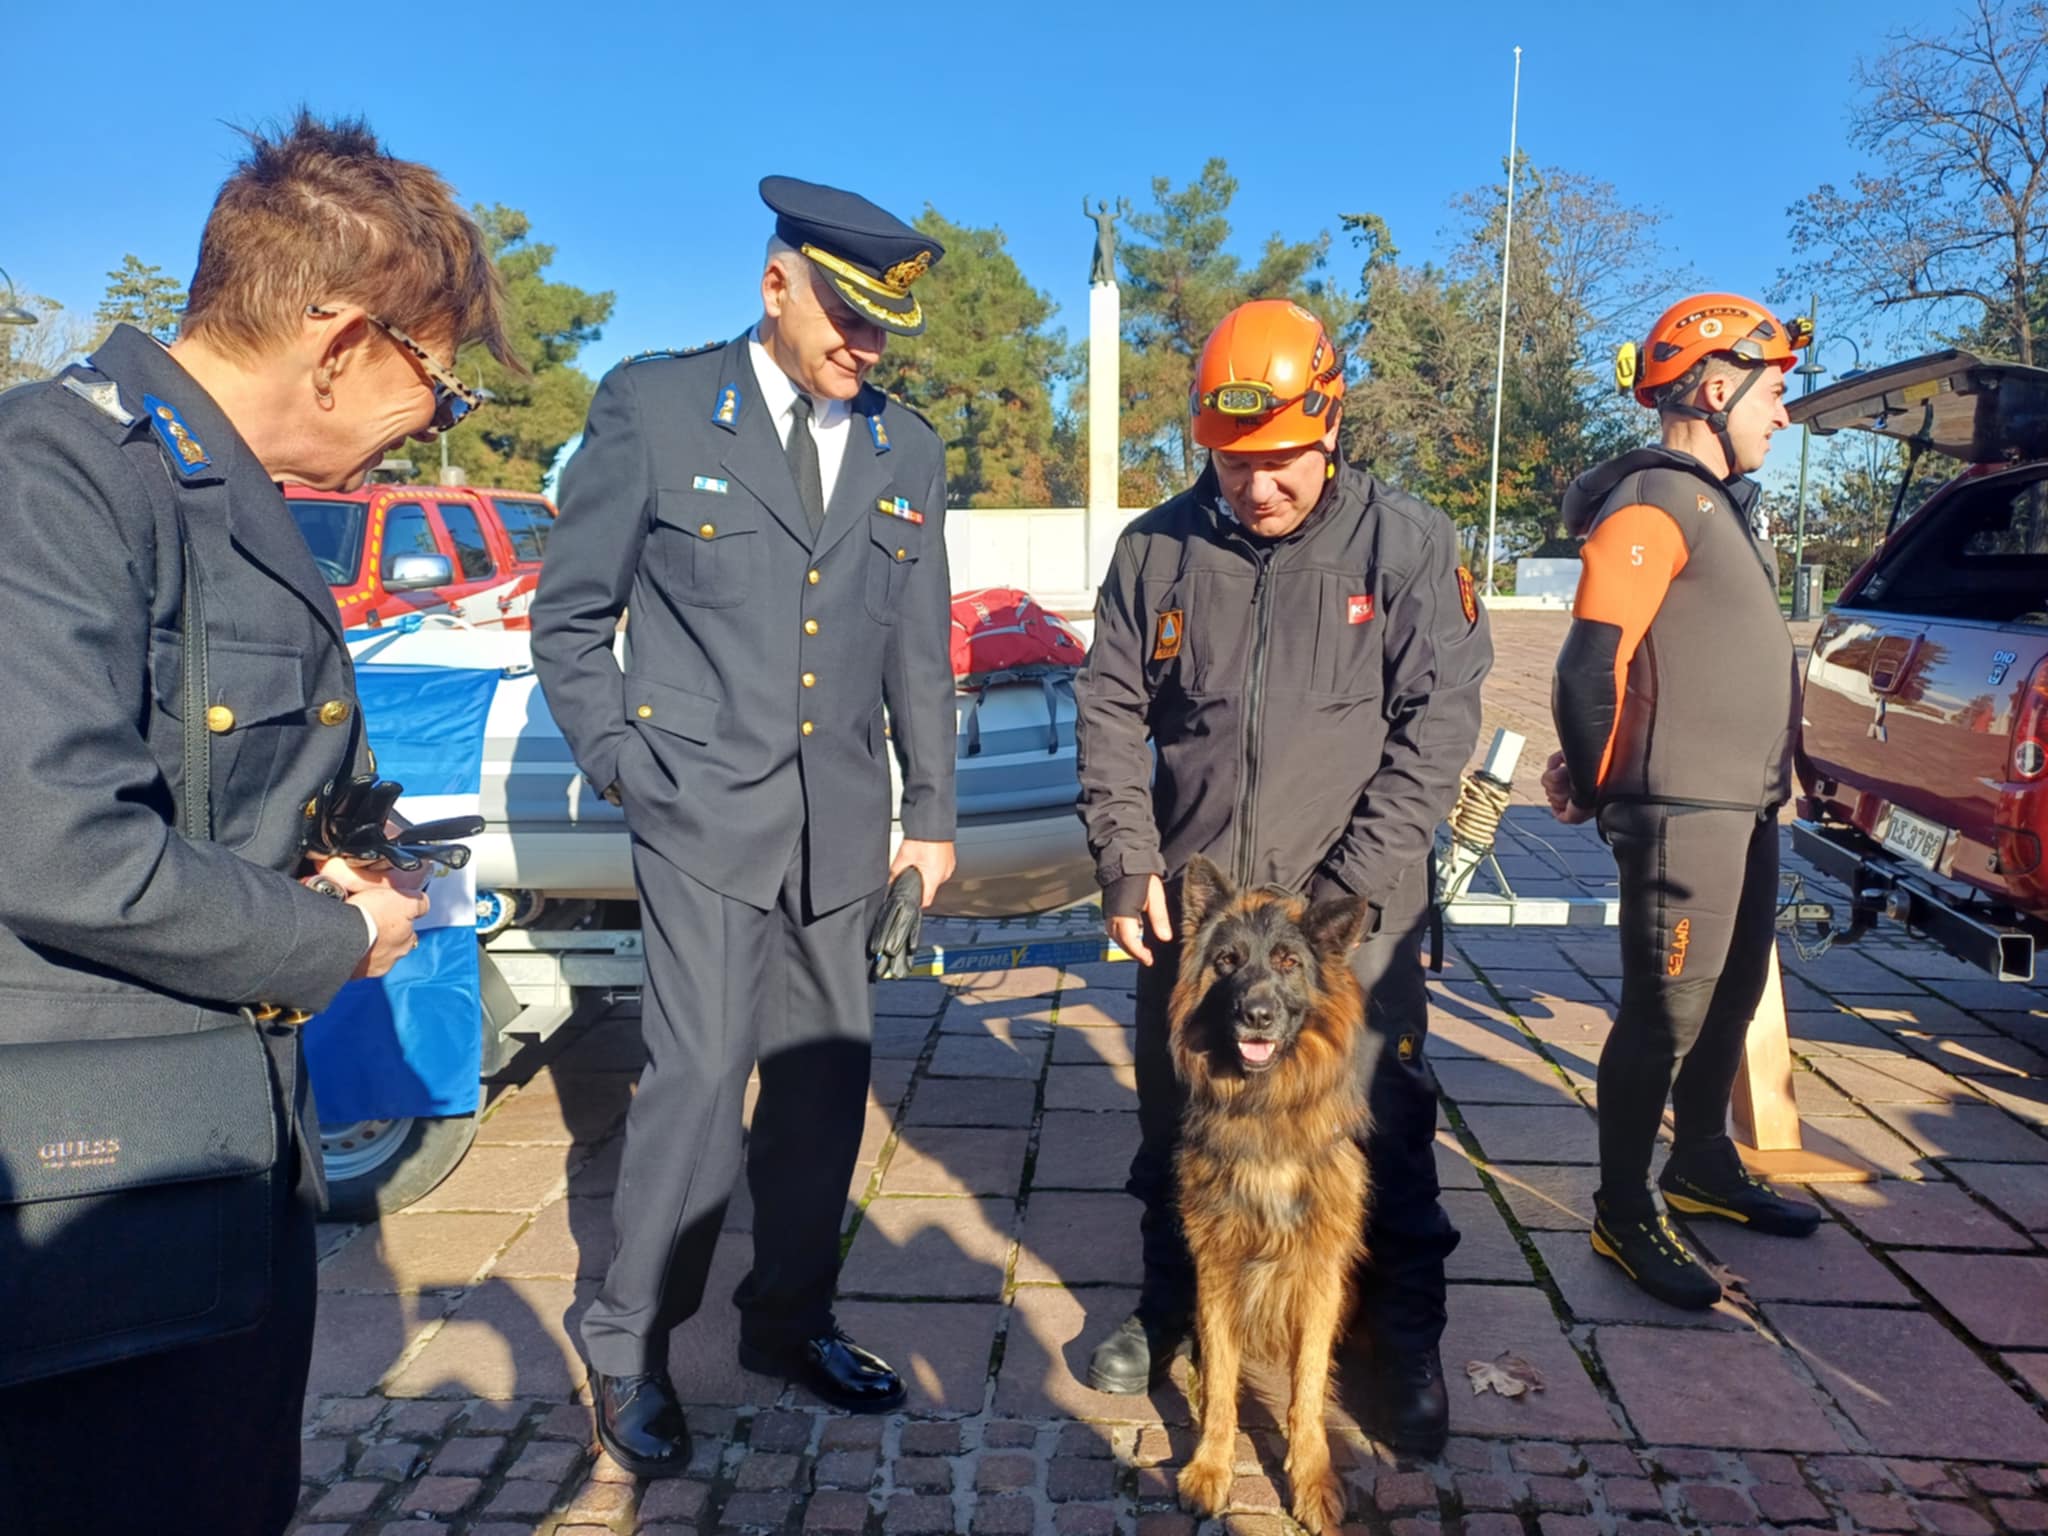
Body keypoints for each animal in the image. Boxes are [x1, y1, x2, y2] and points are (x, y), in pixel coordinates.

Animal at [1171, 860, 1376, 1531]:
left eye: (1288, 962)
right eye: (1227, 961)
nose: (1256, 1014)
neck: (1264, 1109)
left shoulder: (1320, 1272)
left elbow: (1307, 1386)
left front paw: (1311, 1477)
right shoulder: (1215, 1265)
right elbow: (1221, 1385)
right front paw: (1211, 1465)